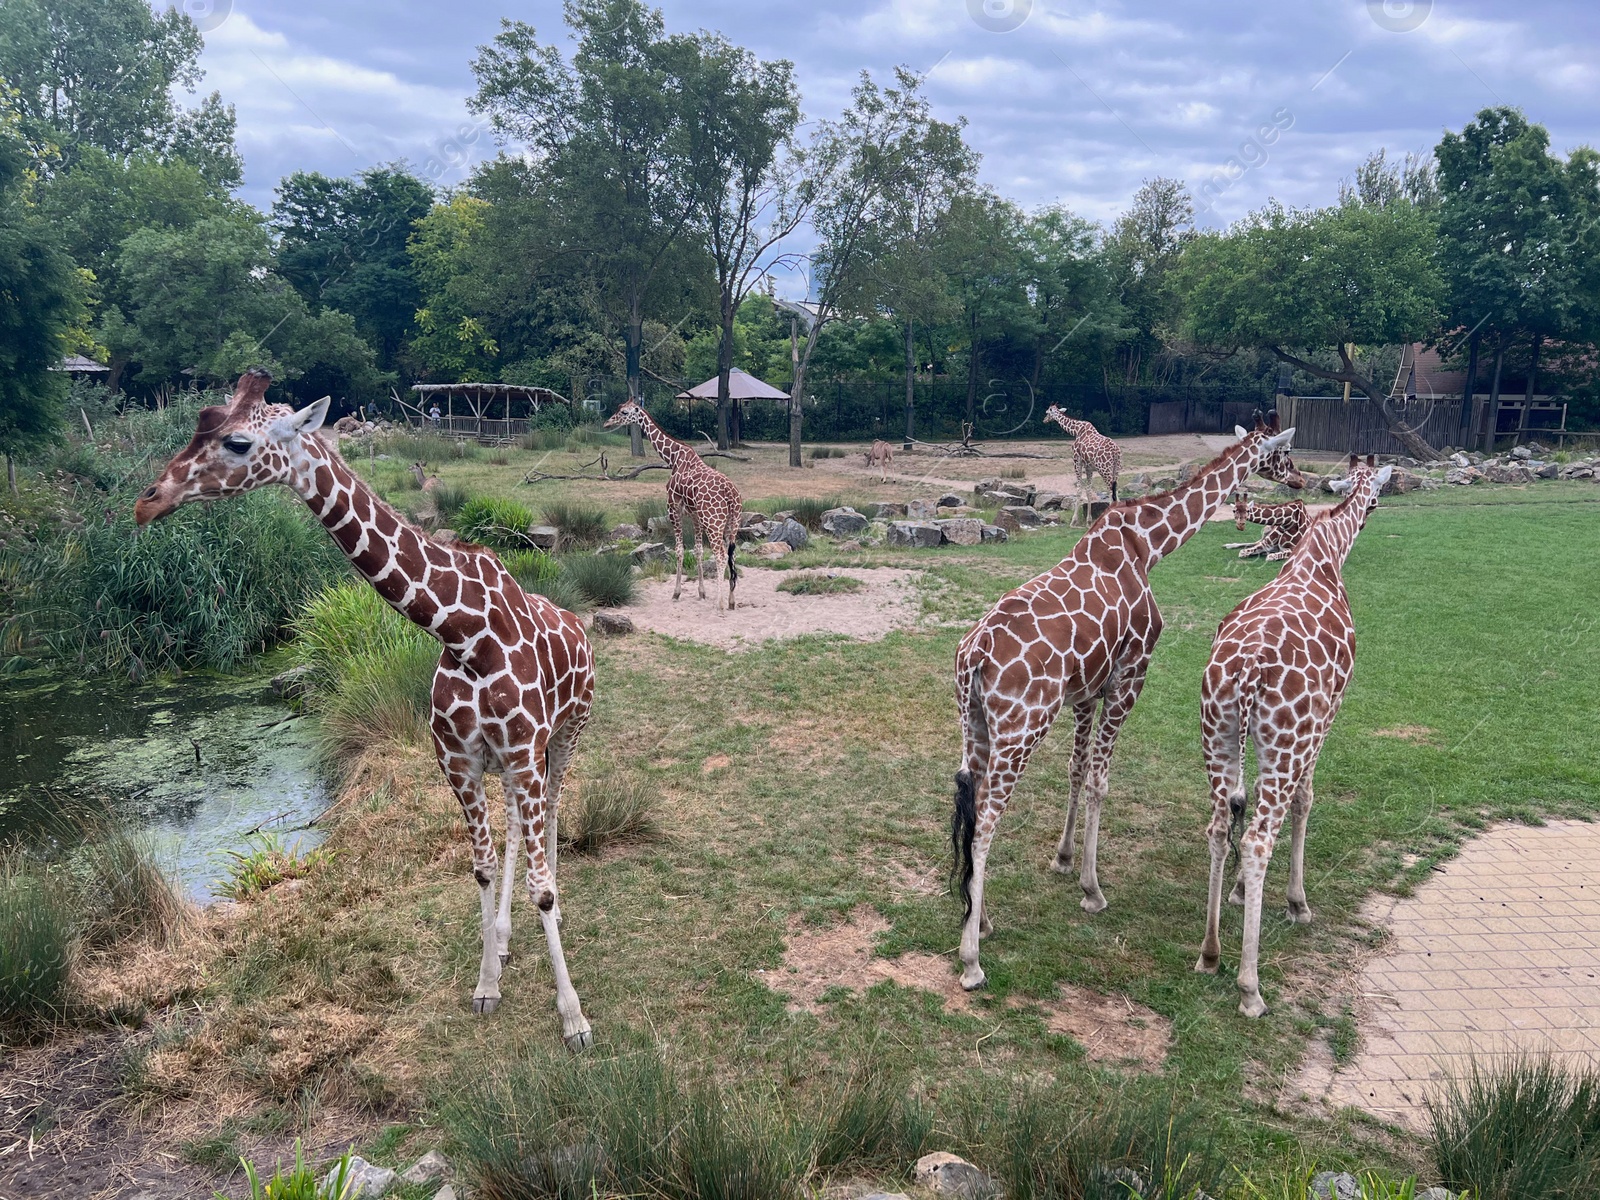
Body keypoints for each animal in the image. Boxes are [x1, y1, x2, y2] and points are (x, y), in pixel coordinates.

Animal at [134, 371, 598, 1049]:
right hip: (517, 763)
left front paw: (574, 1018)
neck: (464, 633)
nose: (147, 502)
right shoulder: (458, 760)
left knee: (556, 813)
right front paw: (487, 981)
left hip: (566, 733)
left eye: (238, 441)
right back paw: (507, 939)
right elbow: (482, 867)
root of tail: (579, 624)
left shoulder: (523, 749)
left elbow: (543, 889)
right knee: (517, 827)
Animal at [604, 401, 742, 611]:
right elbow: (698, 550)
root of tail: (731, 495)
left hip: (713, 522)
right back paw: (732, 601)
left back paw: (719, 604)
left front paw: (676, 593)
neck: (673, 458)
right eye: (619, 409)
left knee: (720, 555)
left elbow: (679, 550)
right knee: (731, 555)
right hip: (732, 523)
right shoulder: (694, 515)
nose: (607, 423)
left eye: (624, 412)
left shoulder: (673, 508)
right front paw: (702, 592)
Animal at [947, 416, 1299, 998]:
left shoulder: (1087, 689)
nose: (1298, 480)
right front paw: (1092, 890)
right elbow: (1100, 780)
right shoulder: (1131, 674)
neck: (1148, 544)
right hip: (1021, 726)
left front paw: (1065, 860)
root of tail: (973, 655)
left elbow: (1076, 769)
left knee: (972, 807)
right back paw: (972, 959)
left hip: (973, 721)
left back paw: (983, 919)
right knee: (990, 819)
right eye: (1283, 454)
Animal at [1196, 454, 1395, 1017]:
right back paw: (1250, 987)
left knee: (1220, 825)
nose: (1372, 513)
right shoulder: (1324, 721)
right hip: (1287, 741)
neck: (1322, 556)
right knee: (1258, 837)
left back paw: (1210, 953)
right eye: (1376, 498)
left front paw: (1241, 893)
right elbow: (1307, 801)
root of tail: (1246, 672)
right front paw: (1297, 902)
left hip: (1218, 733)